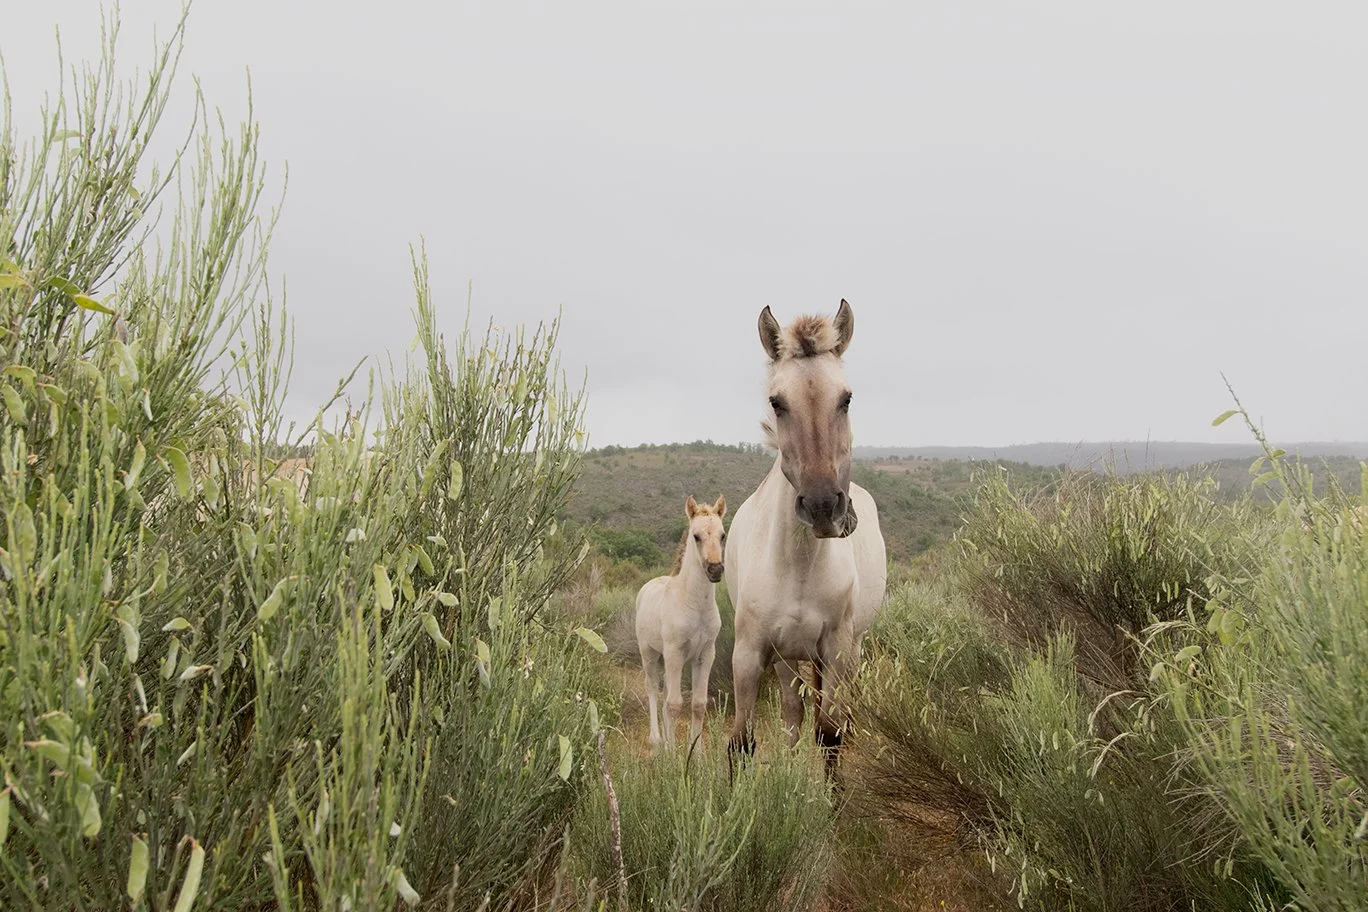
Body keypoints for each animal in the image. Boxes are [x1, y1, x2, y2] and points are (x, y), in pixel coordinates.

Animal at [635, 495, 727, 748]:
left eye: (722, 535)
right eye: (696, 536)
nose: (715, 569)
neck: (694, 605)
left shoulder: (705, 654)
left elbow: (698, 704)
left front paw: (695, 752)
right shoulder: (675, 651)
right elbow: (675, 704)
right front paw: (674, 754)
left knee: (666, 692)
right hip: (649, 654)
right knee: (653, 690)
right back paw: (657, 739)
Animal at [724, 300, 887, 774]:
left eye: (846, 399)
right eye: (777, 402)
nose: (821, 506)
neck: (797, 565)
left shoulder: (836, 650)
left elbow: (830, 735)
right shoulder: (749, 655)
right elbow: (741, 743)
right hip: (786, 659)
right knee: (793, 715)